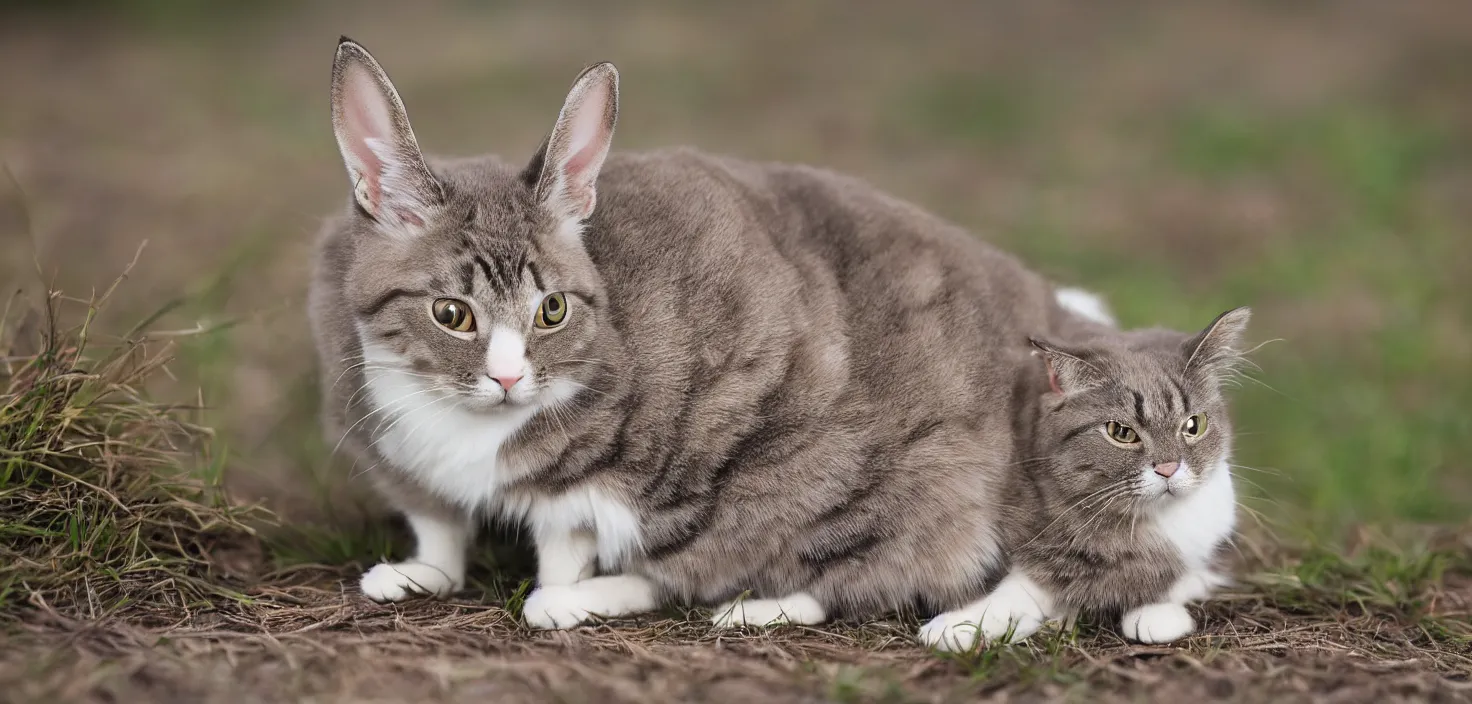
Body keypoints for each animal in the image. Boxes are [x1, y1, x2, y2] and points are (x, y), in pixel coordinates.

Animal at [307, 37, 1242, 642]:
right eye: (452, 315)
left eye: (552, 312)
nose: (507, 383)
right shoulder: (390, 448)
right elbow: (439, 530)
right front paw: (417, 573)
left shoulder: (586, 485)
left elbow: (565, 551)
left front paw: (568, 596)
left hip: (849, 488)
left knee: (848, 573)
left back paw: (742, 606)